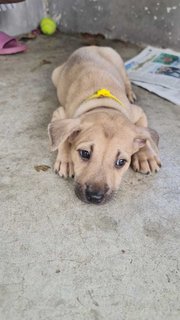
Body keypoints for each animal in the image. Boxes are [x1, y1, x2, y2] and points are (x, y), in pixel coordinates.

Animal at [48, 46, 161, 204]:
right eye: (84, 153)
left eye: (121, 162)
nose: (95, 197)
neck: (103, 105)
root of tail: (90, 47)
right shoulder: (60, 113)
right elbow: (63, 137)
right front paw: (66, 161)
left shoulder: (139, 113)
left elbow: (144, 135)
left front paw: (146, 156)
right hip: (55, 74)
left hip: (119, 63)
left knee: (127, 80)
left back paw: (130, 93)